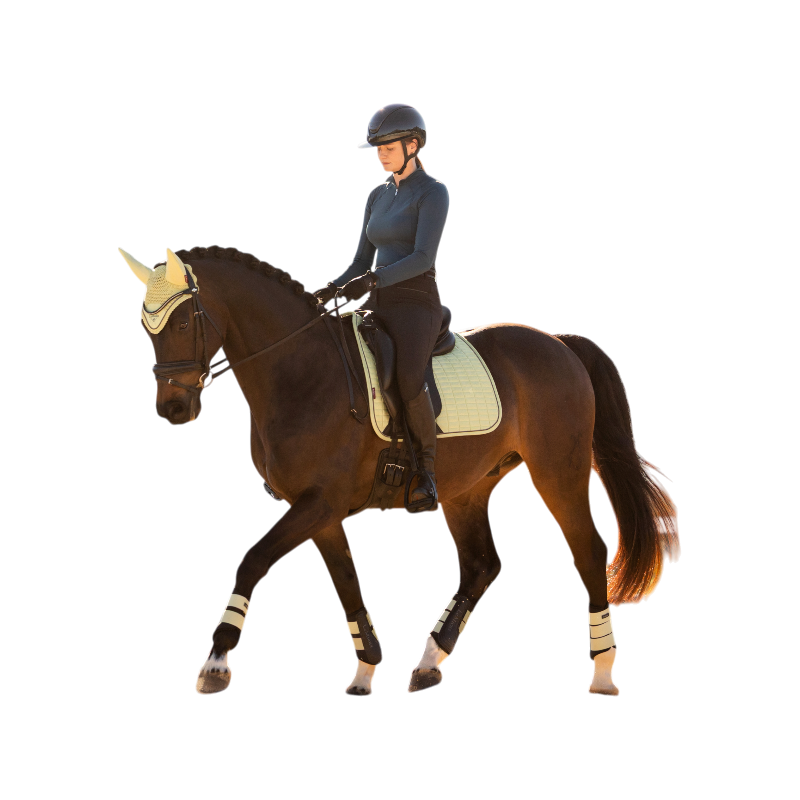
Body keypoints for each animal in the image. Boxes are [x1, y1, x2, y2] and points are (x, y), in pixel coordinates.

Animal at [122, 246, 679, 697]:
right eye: (149, 328)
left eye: (182, 323)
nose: (174, 408)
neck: (300, 370)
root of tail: (560, 343)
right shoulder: (317, 510)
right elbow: (347, 580)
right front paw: (366, 670)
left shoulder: (320, 502)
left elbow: (253, 560)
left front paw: (215, 662)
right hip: (467, 489)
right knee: (481, 565)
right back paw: (429, 661)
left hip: (557, 473)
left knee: (587, 552)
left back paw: (602, 673)